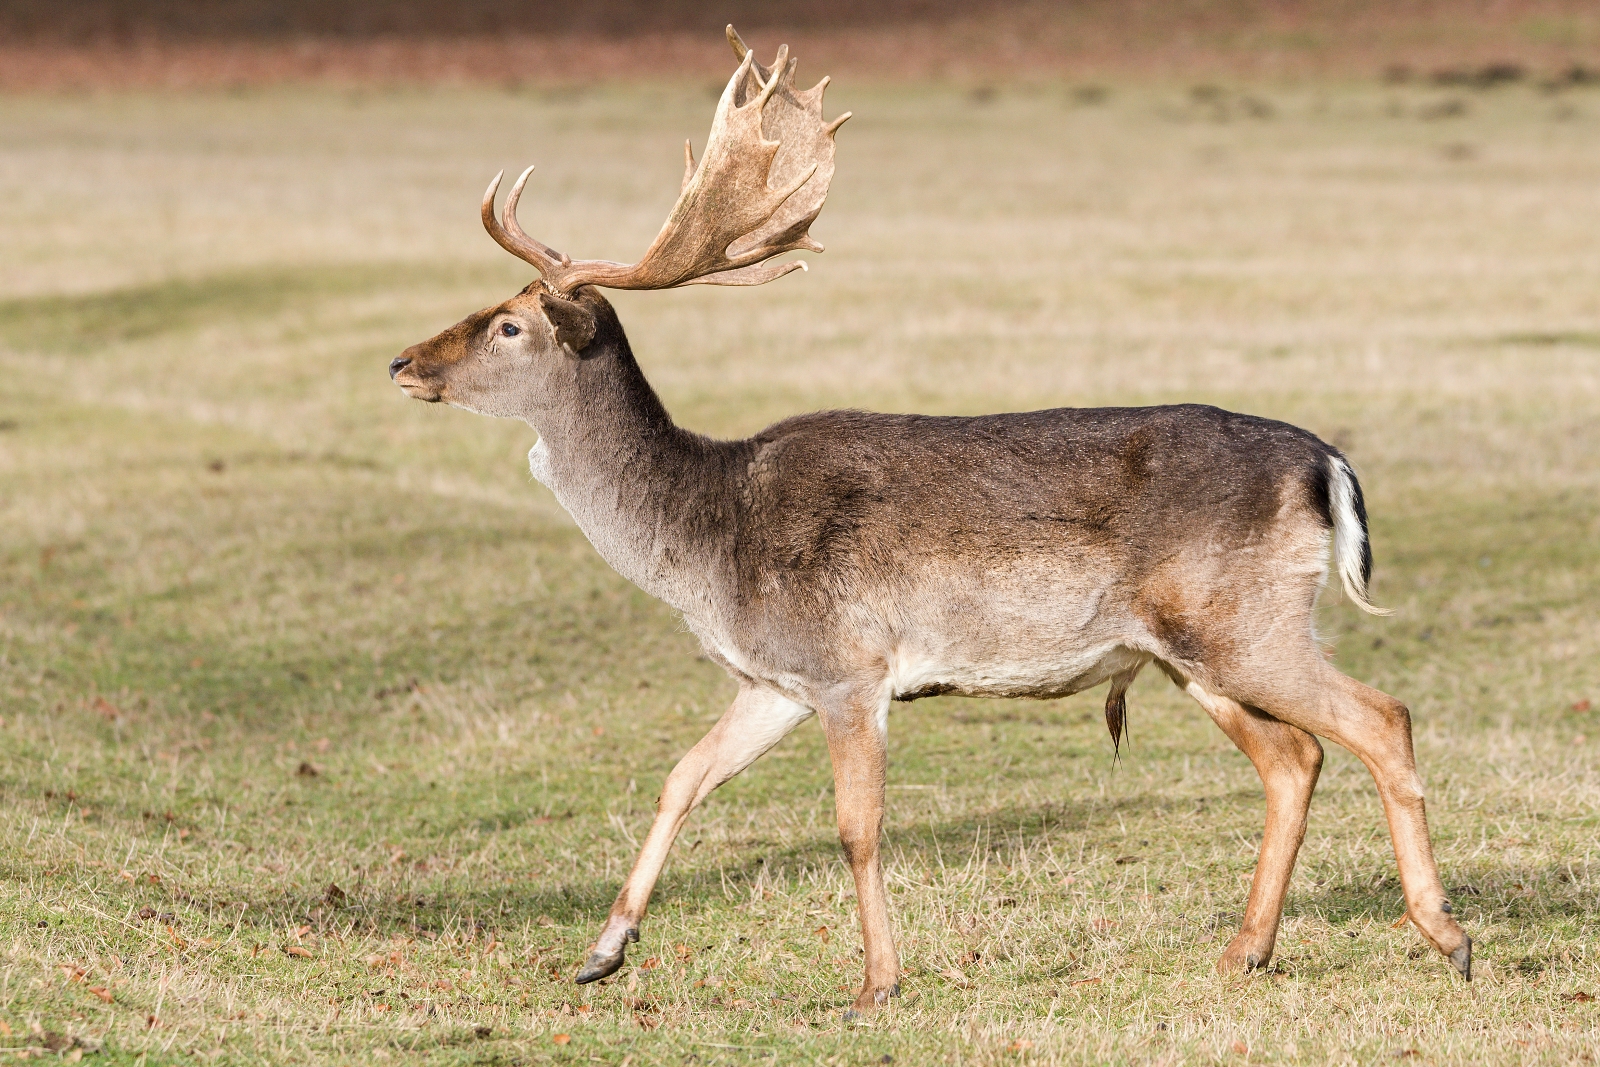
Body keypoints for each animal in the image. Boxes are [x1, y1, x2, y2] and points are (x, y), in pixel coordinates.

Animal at [389, 27, 1473, 1015]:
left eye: (507, 324)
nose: (401, 360)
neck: (703, 538)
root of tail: (1322, 463)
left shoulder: (847, 665)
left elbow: (855, 826)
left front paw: (874, 982)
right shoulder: (773, 677)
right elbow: (681, 777)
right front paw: (602, 950)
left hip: (1242, 620)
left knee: (1381, 717)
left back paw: (1445, 934)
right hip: (1188, 648)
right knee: (1296, 757)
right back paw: (1245, 950)